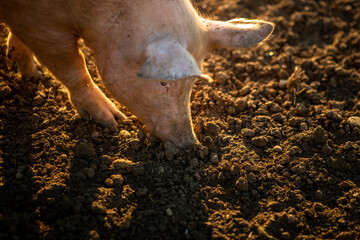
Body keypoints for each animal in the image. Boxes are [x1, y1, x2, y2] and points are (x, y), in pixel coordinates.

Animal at [0, 0, 274, 148]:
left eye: (192, 84)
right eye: (163, 82)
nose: (190, 143)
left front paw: (31, 75)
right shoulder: (41, 24)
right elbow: (74, 65)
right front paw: (114, 122)